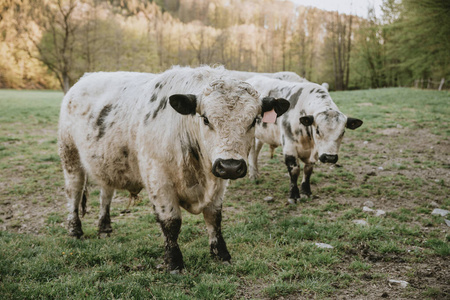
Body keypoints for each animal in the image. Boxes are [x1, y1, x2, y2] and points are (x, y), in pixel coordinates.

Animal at [58, 65, 288, 272]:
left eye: (254, 120)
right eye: (206, 119)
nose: (230, 166)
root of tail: (86, 78)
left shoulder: (219, 183)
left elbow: (214, 218)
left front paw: (221, 254)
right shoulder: (159, 181)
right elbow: (171, 223)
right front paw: (175, 262)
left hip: (107, 163)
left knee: (106, 194)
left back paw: (104, 227)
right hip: (70, 156)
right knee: (74, 192)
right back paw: (75, 230)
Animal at [246, 76, 362, 205]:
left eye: (343, 132)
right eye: (317, 130)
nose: (329, 157)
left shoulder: (313, 154)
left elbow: (308, 170)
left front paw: (306, 192)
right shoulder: (289, 146)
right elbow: (294, 170)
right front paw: (294, 195)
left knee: (256, 152)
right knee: (252, 152)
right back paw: (253, 175)